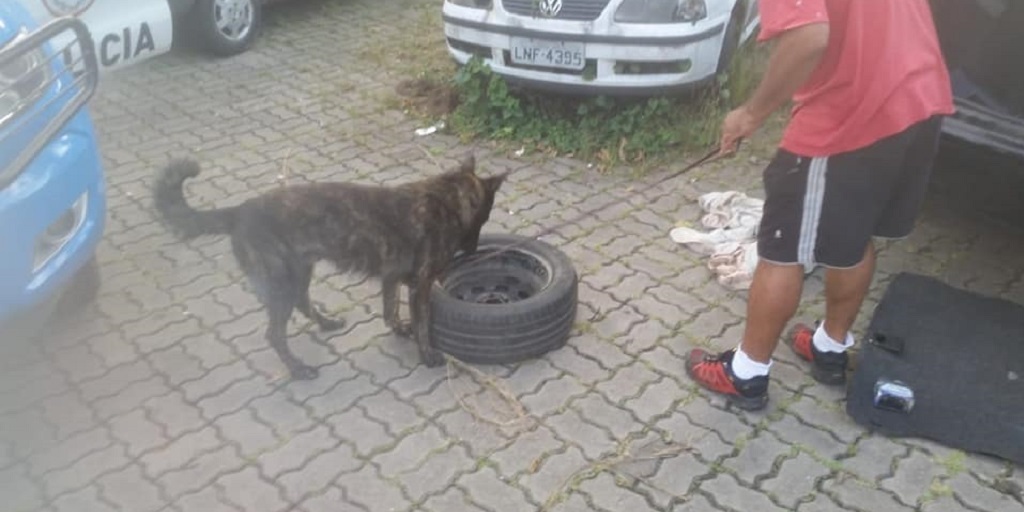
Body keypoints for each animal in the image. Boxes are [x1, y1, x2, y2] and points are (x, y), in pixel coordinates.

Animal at [154, 153, 507, 378]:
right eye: (486, 215)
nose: (472, 250)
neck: (447, 197)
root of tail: (238, 211)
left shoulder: (391, 278)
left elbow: (390, 310)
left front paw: (398, 329)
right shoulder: (419, 285)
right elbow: (421, 324)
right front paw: (427, 354)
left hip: (300, 272)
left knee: (302, 303)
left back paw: (325, 324)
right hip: (282, 283)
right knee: (274, 334)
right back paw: (298, 369)